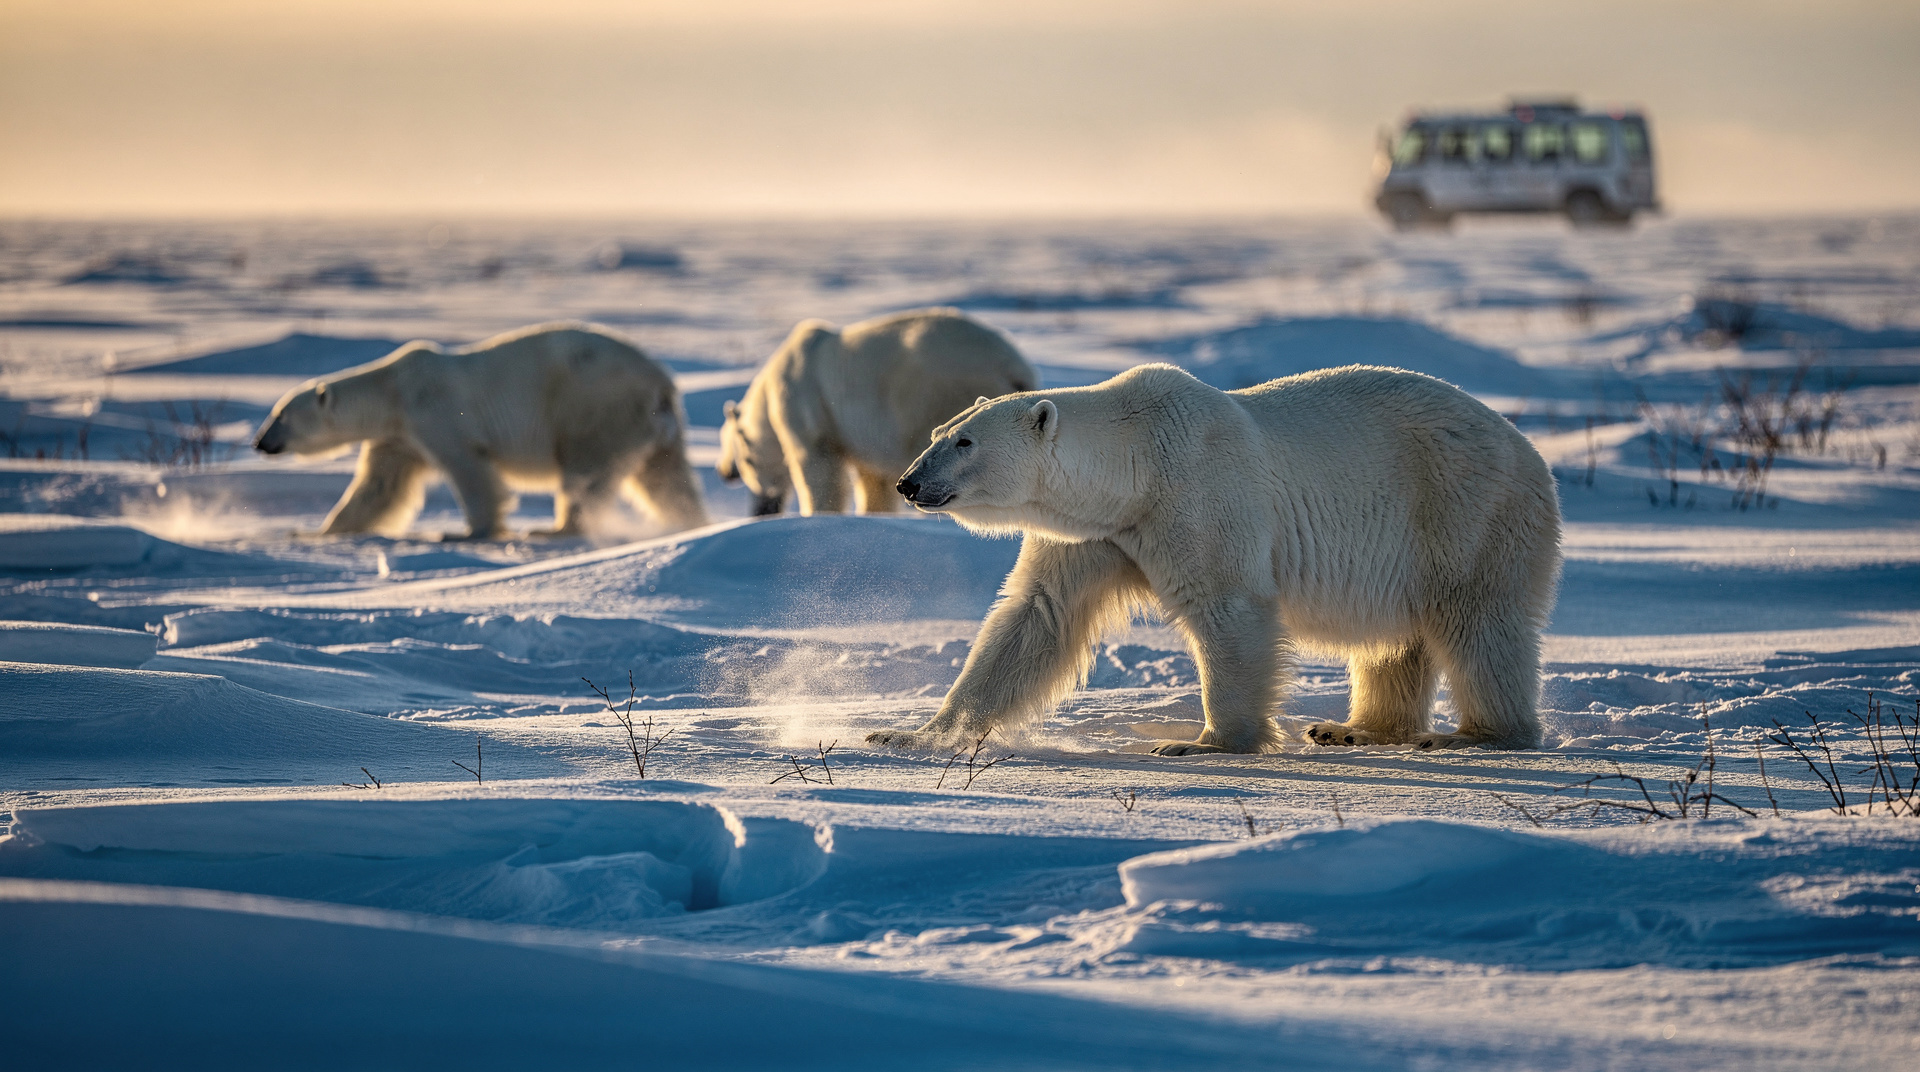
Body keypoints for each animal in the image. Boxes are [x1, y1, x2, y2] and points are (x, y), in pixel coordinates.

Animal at [253, 322, 709, 540]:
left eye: (280, 415)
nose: (259, 442)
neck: (393, 391)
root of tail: (662, 383)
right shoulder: (400, 436)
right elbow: (377, 486)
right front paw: (317, 530)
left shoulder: (436, 412)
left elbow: (468, 467)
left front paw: (467, 533)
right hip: (652, 427)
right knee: (666, 477)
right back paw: (690, 521)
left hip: (594, 407)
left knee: (586, 470)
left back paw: (556, 528)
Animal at [717, 308, 1037, 516]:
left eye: (741, 459)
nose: (724, 471)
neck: (770, 390)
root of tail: (1014, 367)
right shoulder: (865, 438)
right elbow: (874, 482)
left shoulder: (808, 406)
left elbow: (818, 469)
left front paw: (820, 514)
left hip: (935, 394)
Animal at [870, 362, 1562, 754]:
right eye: (938, 433)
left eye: (965, 442)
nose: (909, 483)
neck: (1137, 463)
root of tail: (1528, 447)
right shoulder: (1097, 535)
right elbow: (1035, 617)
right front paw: (910, 734)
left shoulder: (1196, 497)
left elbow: (1229, 608)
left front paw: (1205, 744)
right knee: (1395, 643)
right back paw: (1352, 728)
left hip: (1465, 511)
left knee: (1478, 623)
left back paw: (1468, 735)